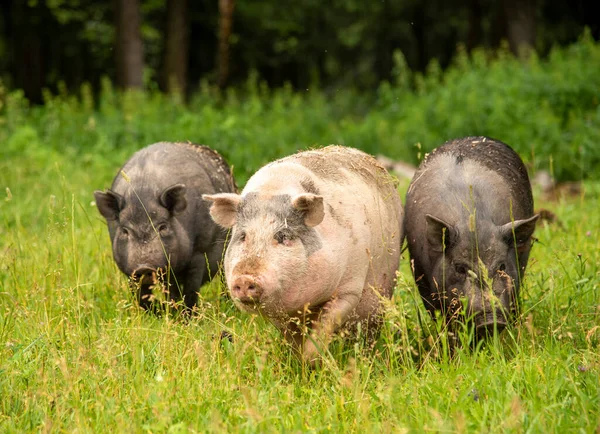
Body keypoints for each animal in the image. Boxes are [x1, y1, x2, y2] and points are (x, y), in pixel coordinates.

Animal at [94, 142, 237, 308]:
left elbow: (191, 292)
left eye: (163, 227)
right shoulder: (129, 269)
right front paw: (159, 309)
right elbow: (142, 297)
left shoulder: (199, 253)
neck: (144, 191)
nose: (144, 266)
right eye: (124, 230)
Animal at [202, 146, 404, 362]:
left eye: (283, 236)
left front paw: (311, 360)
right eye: (243, 236)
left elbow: (327, 323)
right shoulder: (281, 310)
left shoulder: (349, 288)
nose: (245, 278)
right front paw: (295, 360)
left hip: (382, 292)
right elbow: (291, 336)